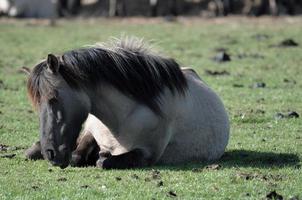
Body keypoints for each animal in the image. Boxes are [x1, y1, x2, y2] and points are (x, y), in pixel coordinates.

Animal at [26, 37, 230, 169]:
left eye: (53, 98)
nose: (50, 154)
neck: (121, 119)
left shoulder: (146, 153)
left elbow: (102, 161)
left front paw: (101, 156)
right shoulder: (89, 133)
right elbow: (77, 155)